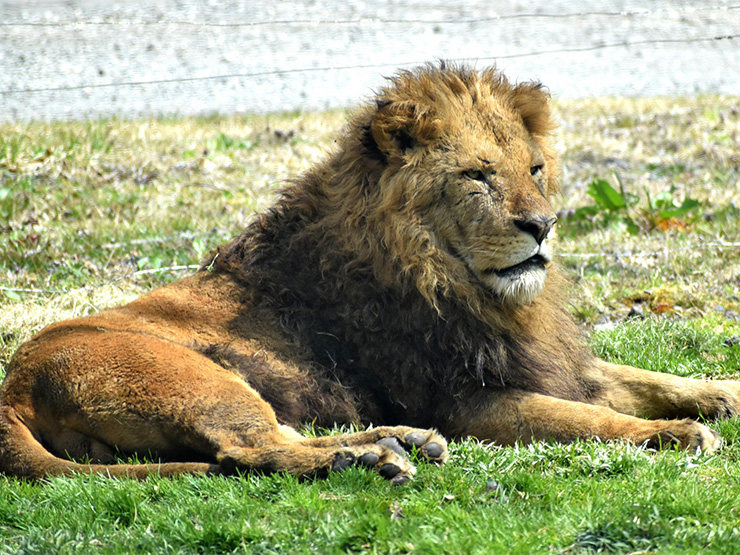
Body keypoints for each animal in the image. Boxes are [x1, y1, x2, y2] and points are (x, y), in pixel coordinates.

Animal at [1, 64, 740, 482]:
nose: (543, 225)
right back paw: (373, 457)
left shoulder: (545, 360)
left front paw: (721, 391)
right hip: (196, 380)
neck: (462, 283)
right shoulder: (465, 401)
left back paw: (392, 444)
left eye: (534, 169)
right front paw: (673, 434)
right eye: (478, 176)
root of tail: (14, 384)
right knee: (253, 451)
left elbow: (645, 380)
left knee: (278, 437)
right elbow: (587, 418)